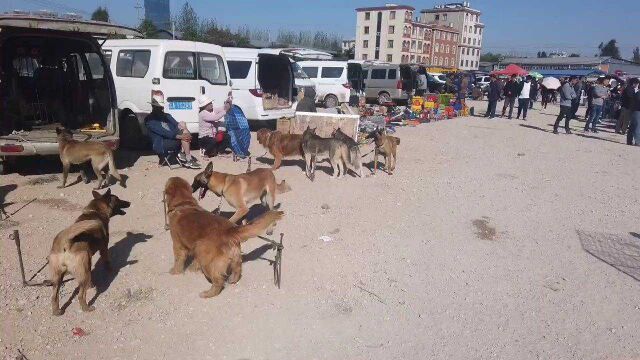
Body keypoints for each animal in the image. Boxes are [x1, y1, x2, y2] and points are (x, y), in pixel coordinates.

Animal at [47, 188, 130, 316]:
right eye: (118, 199)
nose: (129, 202)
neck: (96, 211)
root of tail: (66, 242)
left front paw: (91, 285)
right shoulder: (103, 249)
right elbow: (107, 262)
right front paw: (110, 270)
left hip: (57, 278)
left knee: (54, 297)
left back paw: (57, 311)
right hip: (84, 274)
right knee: (81, 296)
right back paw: (87, 308)